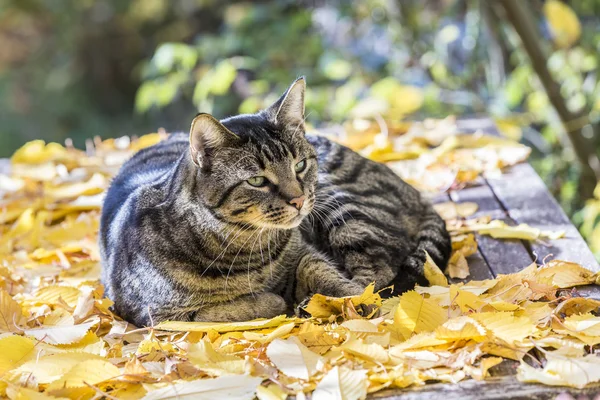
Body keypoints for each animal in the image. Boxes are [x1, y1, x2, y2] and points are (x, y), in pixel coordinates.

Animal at [99, 76, 450, 326]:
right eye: (257, 181)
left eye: (300, 165)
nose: (298, 199)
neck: (248, 251)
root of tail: (414, 192)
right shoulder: (158, 314)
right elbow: (238, 307)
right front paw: (282, 299)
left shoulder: (306, 254)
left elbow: (335, 279)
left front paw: (349, 299)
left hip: (344, 209)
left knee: (379, 271)